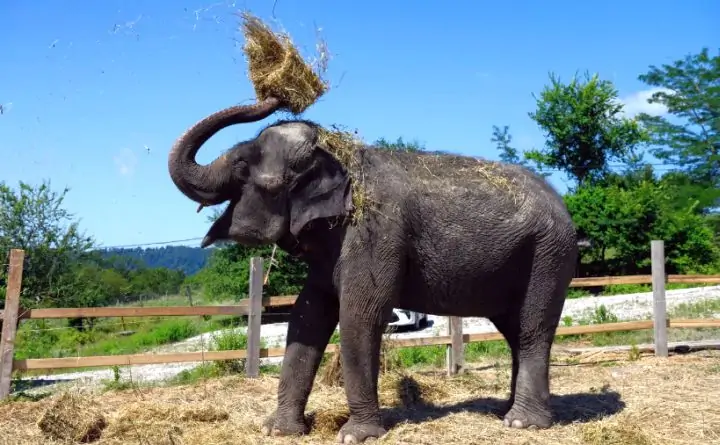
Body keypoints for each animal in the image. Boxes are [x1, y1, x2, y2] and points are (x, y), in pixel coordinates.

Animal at [168, 97, 579, 443]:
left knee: (531, 329)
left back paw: (522, 423)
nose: (274, 97)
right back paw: (505, 412)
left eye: (242, 169)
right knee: (514, 331)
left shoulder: (374, 233)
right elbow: (306, 316)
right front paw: (278, 431)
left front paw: (356, 436)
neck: (340, 159)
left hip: (548, 256)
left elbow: (359, 316)